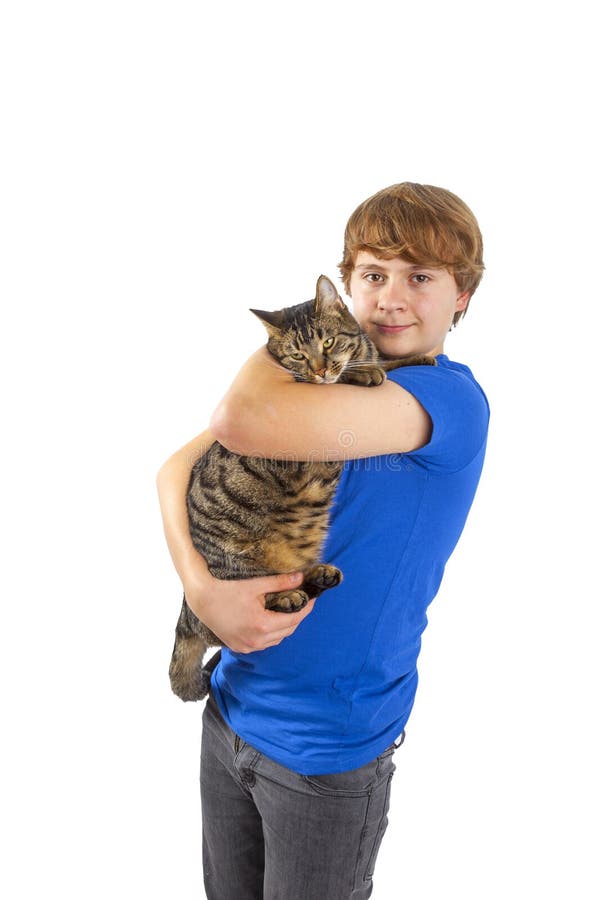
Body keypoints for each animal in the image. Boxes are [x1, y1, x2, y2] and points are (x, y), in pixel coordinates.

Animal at [169, 276, 436, 704]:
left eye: (327, 343)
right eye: (297, 355)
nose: (321, 369)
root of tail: (187, 611)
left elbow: (383, 363)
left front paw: (409, 360)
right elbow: (351, 378)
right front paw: (366, 373)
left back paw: (320, 575)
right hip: (239, 564)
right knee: (253, 604)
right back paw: (288, 594)